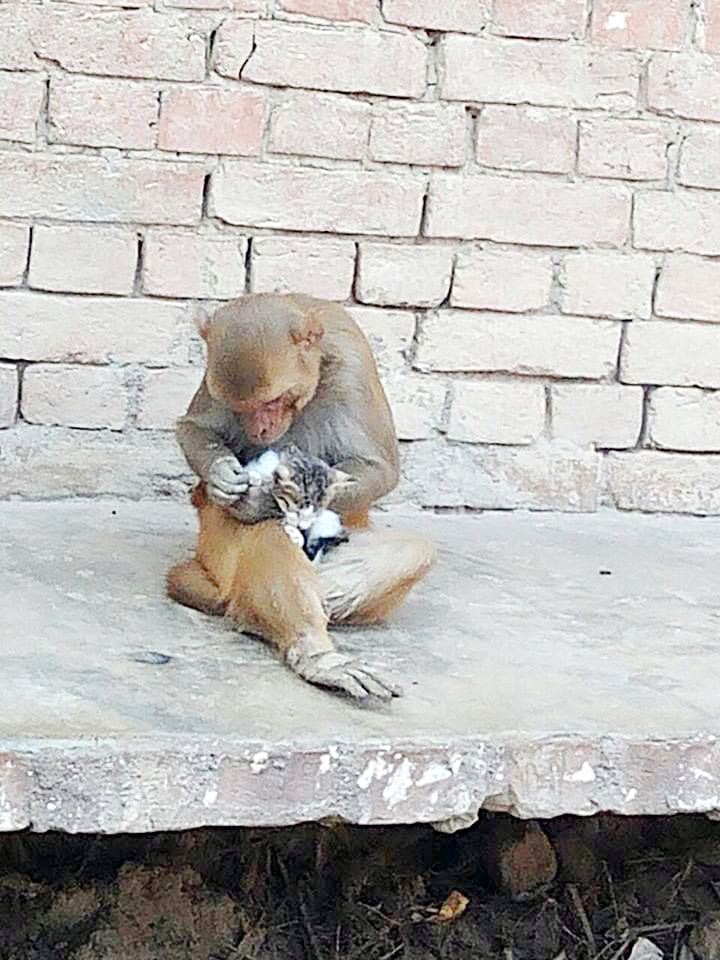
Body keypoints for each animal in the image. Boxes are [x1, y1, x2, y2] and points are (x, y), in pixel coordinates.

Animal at [167, 294, 436, 700]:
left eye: (273, 401)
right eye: (244, 408)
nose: (261, 430)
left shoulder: (353, 364)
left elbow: (380, 468)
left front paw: (265, 499)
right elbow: (194, 428)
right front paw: (225, 482)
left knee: (417, 549)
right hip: (215, 552)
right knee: (268, 536)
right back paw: (314, 652)